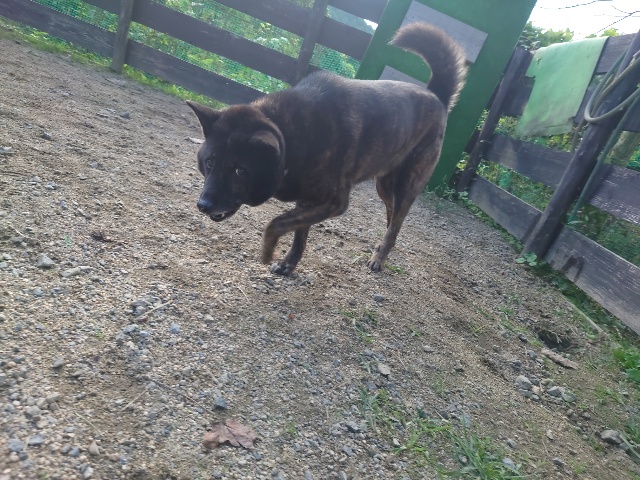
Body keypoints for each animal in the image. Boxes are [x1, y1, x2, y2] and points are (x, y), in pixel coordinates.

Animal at [187, 22, 467, 275]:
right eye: (209, 163)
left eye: (239, 171)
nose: (203, 205)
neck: (295, 136)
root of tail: (437, 97)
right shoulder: (308, 200)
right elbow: (298, 234)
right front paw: (289, 264)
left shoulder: (334, 202)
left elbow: (276, 223)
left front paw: (267, 251)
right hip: (385, 186)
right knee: (393, 218)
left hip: (406, 185)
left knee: (397, 221)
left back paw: (379, 257)